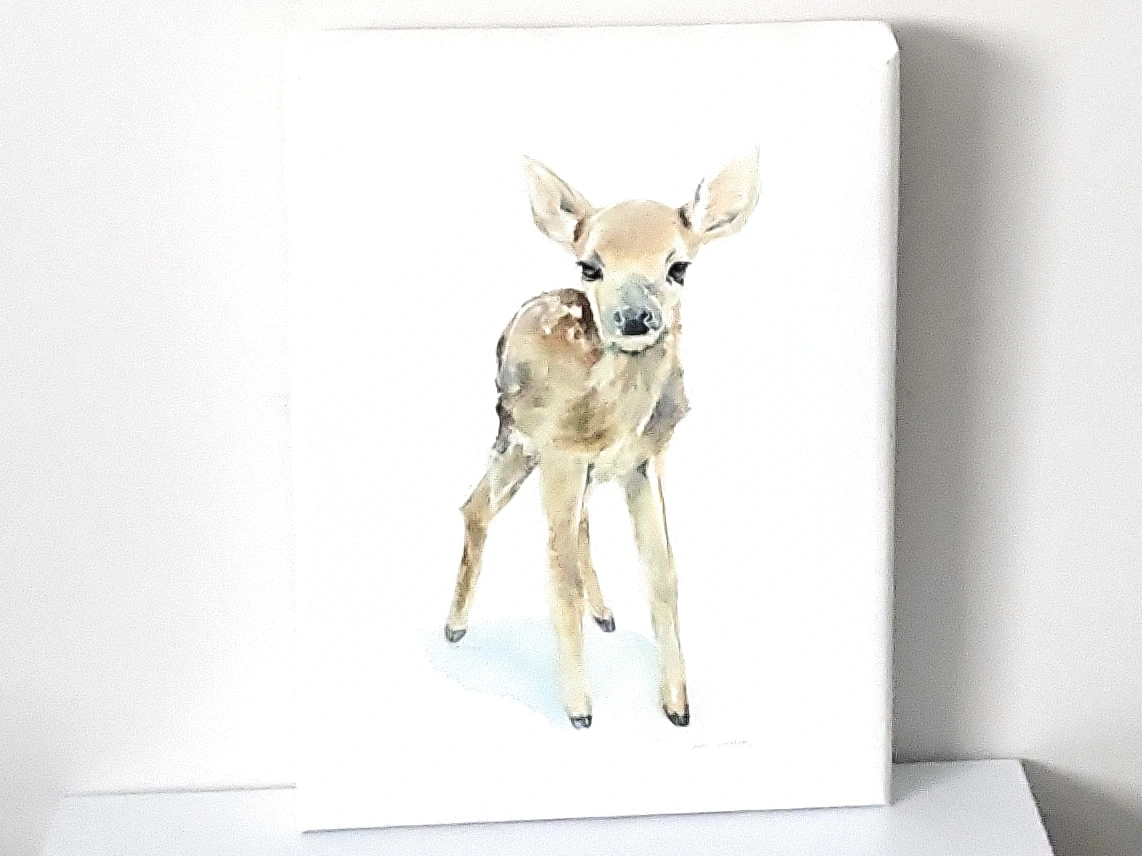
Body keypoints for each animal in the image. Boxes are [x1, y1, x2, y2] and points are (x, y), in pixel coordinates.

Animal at [444, 152, 760, 730]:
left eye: (678, 267)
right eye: (590, 267)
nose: (635, 318)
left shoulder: (645, 460)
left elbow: (662, 573)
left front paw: (678, 707)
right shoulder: (560, 455)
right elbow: (559, 574)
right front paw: (580, 713)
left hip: (572, 467)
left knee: (576, 525)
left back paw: (605, 615)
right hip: (517, 437)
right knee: (477, 507)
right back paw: (454, 627)